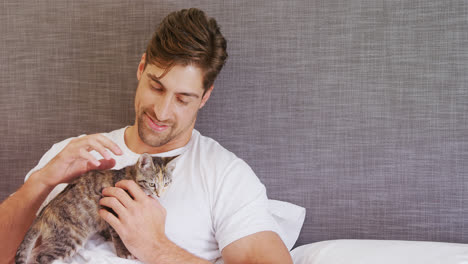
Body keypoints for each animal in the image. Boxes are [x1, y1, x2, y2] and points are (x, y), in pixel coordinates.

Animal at [15, 154, 177, 262]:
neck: (131, 176)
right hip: (70, 237)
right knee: (41, 257)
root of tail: (44, 212)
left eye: (166, 183)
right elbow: (117, 234)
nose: (159, 194)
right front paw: (123, 251)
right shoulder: (110, 205)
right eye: (152, 184)